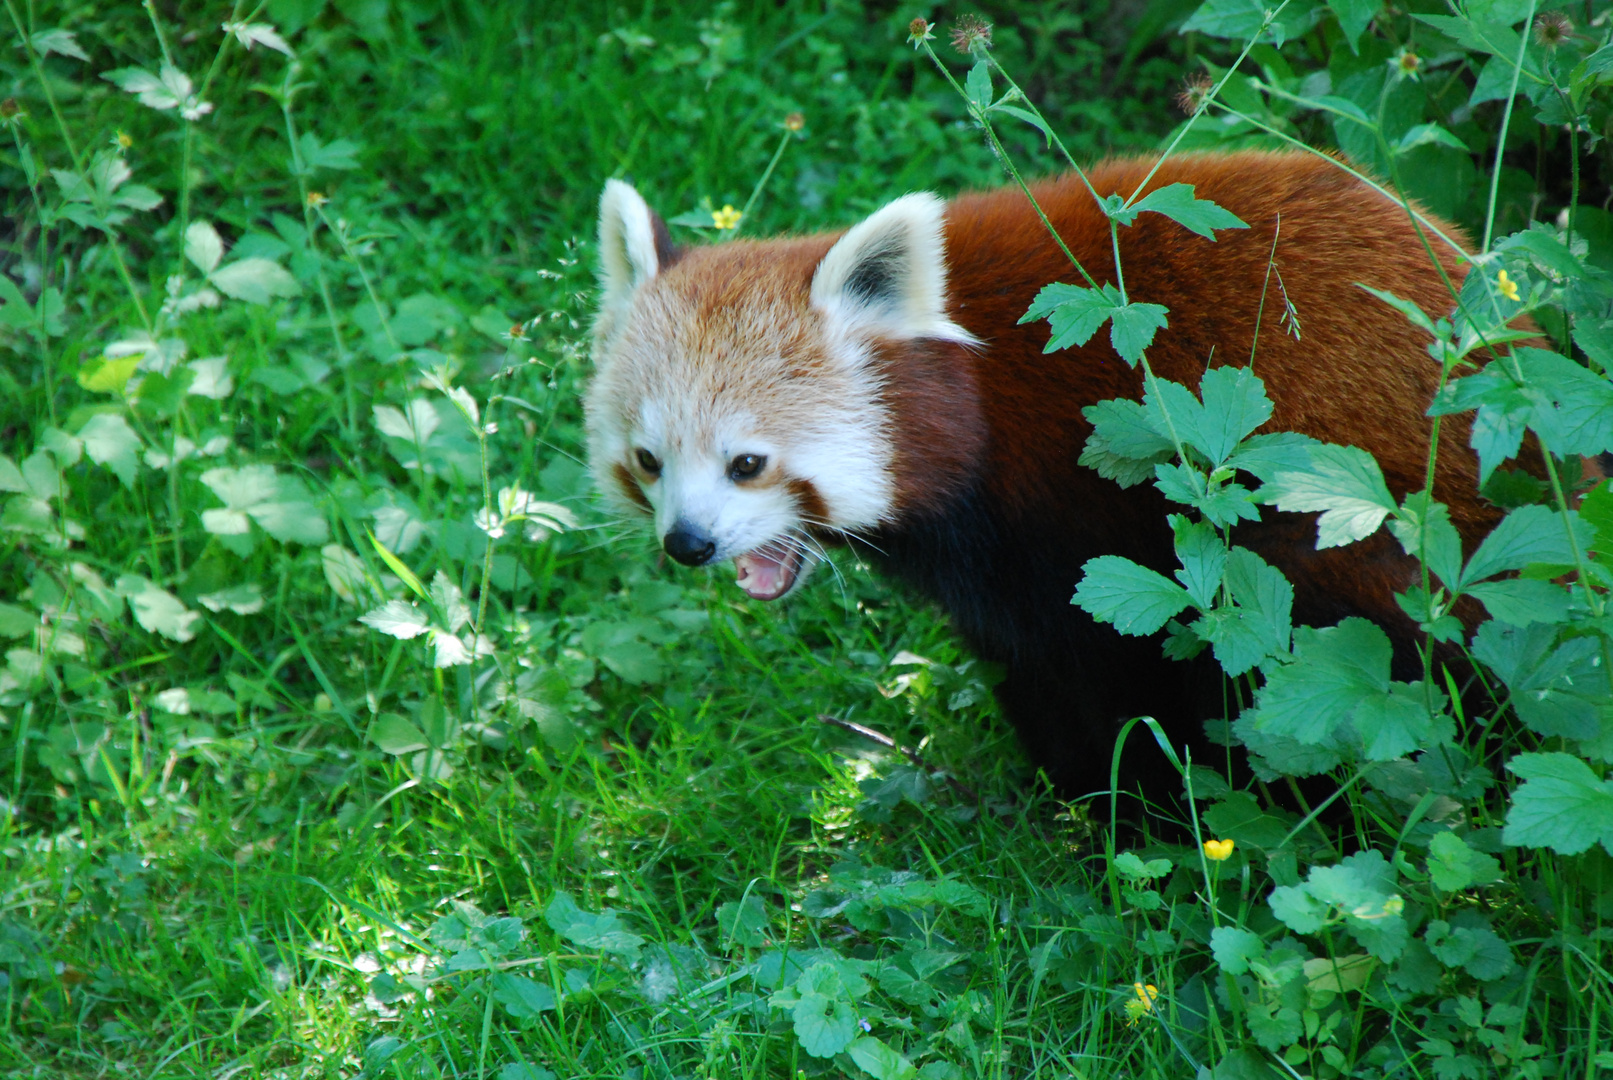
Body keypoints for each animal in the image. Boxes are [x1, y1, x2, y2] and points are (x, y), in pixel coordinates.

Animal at [583, 152, 1496, 796]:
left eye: (747, 464)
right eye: (648, 461)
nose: (687, 543)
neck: (981, 398)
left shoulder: (1071, 520)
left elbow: (1106, 680)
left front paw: (1122, 809)